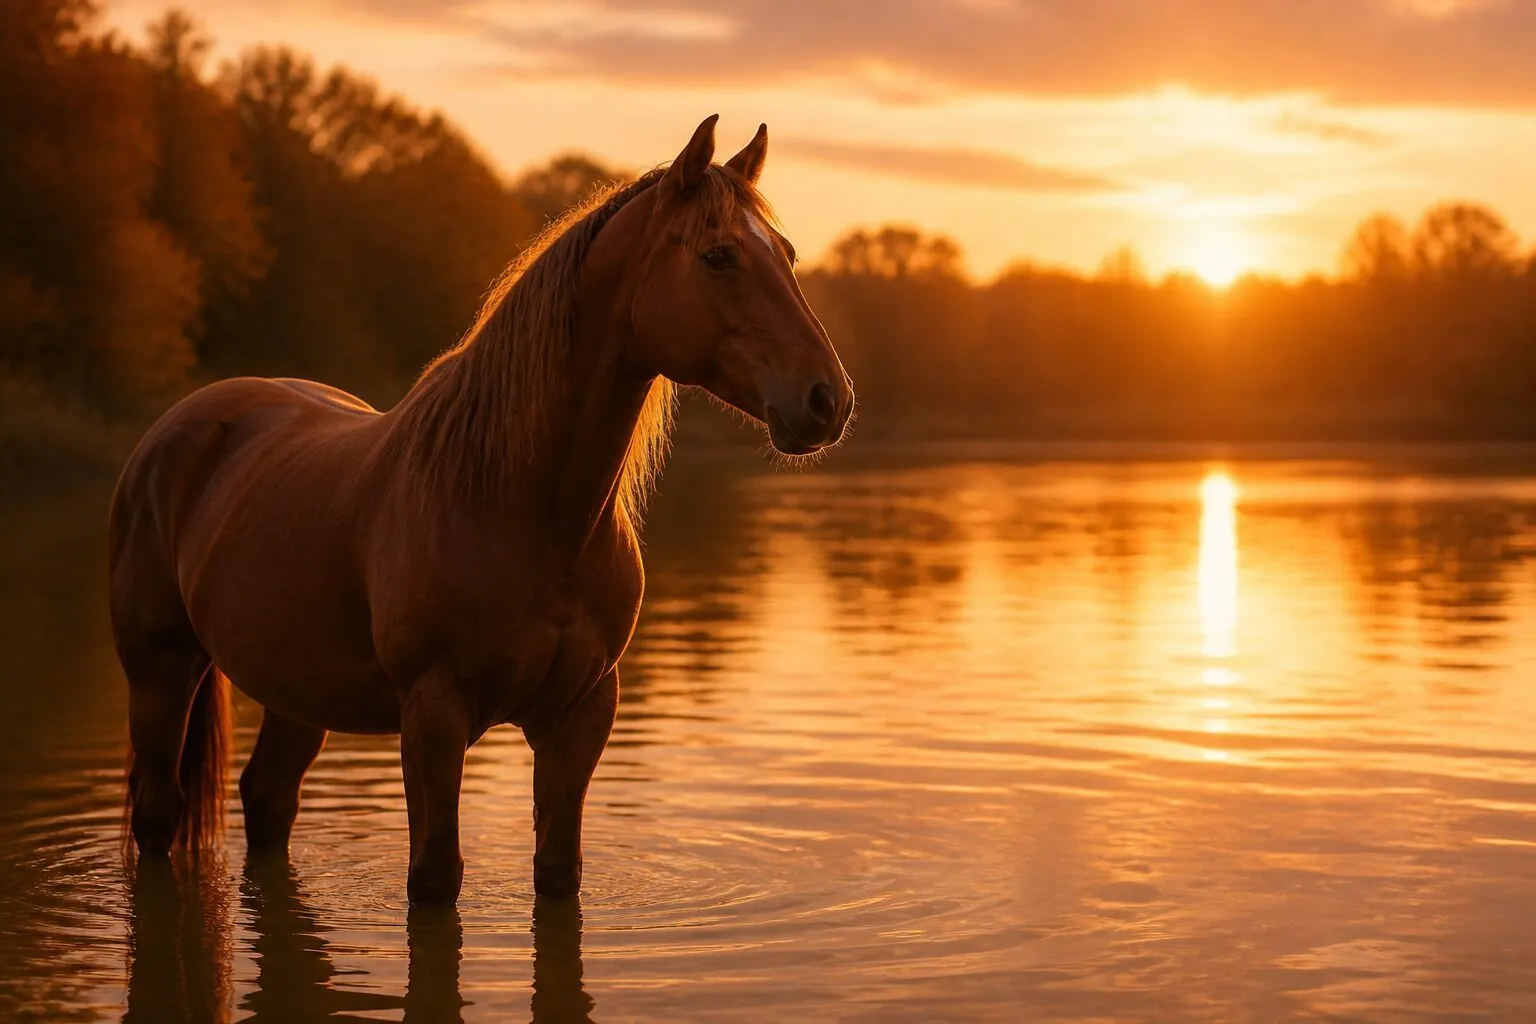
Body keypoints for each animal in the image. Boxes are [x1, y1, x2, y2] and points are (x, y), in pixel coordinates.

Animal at [109, 115, 854, 904]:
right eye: (717, 256)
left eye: (788, 255)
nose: (827, 399)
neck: (524, 511)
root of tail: (183, 423)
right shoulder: (433, 716)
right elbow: (436, 874)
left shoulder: (579, 718)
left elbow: (558, 869)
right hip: (160, 675)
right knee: (159, 815)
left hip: (294, 691)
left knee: (267, 798)